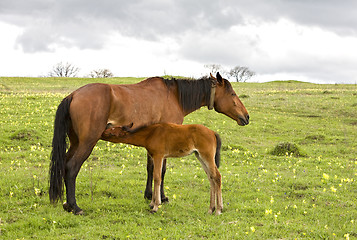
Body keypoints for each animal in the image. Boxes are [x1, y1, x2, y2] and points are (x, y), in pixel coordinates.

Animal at [48, 72, 248, 215]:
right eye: (232, 94)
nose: (246, 117)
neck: (174, 96)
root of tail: (73, 95)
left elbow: (151, 169)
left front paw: (150, 196)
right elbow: (162, 171)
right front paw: (162, 197)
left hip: (75, 143)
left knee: (64, 165)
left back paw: (67, 204)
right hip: (87, 143)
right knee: (72, 168)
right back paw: (74, 207)